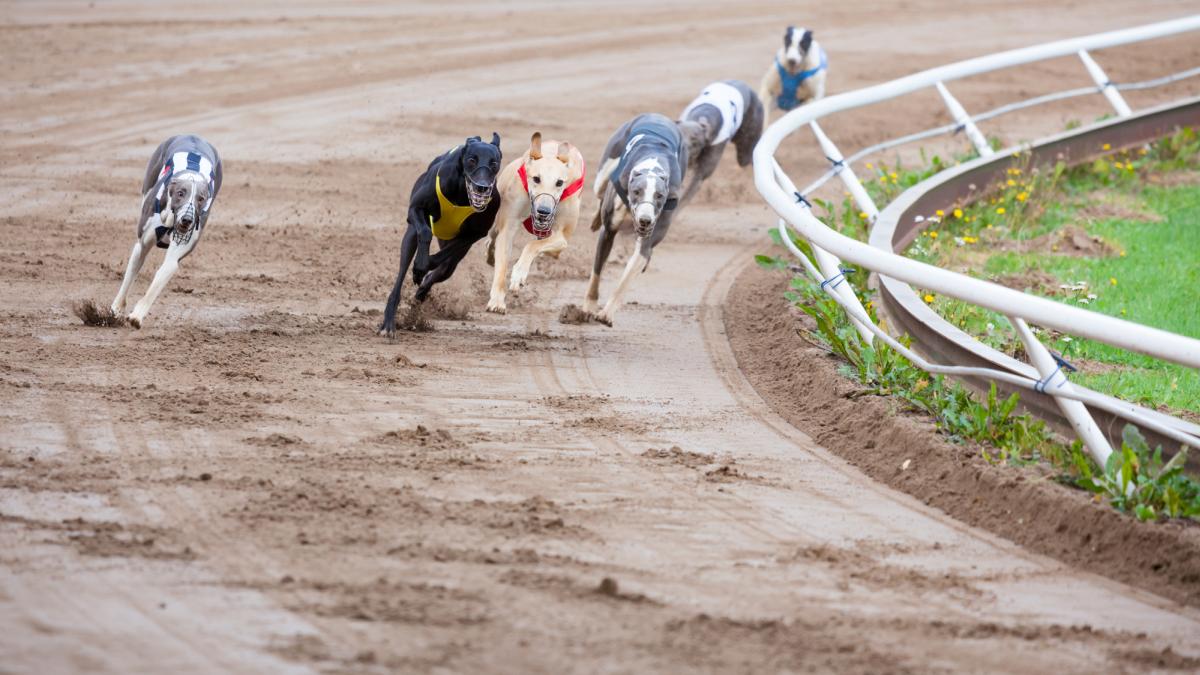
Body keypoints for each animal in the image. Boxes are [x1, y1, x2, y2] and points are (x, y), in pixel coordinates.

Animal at [379, 133, 501, 336]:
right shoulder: (415, 210)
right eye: (471, 160)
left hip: (452, 262)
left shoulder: (474, 234)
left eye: (494, 163)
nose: (482, 187)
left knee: (440, 270)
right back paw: (389, 322)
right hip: (411, 234)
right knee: (403, 269)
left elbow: (439, 258)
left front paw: (423, 267)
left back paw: (418, 299)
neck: (462, 193)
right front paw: (419, 265)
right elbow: (425, 232)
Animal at [482, 131, 585, 314]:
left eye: (559, 182)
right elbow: (502, 265)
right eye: (536, 179)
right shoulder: (508, 227)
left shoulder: (561, 237)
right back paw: (491, 254)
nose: (544, 211)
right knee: (492, 239)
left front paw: (519, 274)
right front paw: (497, 300)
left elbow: (532, 246)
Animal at [585, 113, 691, 326]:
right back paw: (595, 219)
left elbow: (626, 278)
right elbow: (596, 272)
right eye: (636, 191)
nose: (645, 220)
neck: (654, 162)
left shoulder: (647, 242)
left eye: (660, 196)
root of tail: (658, 116)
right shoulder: (608, 232)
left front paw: (606, 313)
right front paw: (589, 306)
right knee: (600, 192)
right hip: (604, 172)